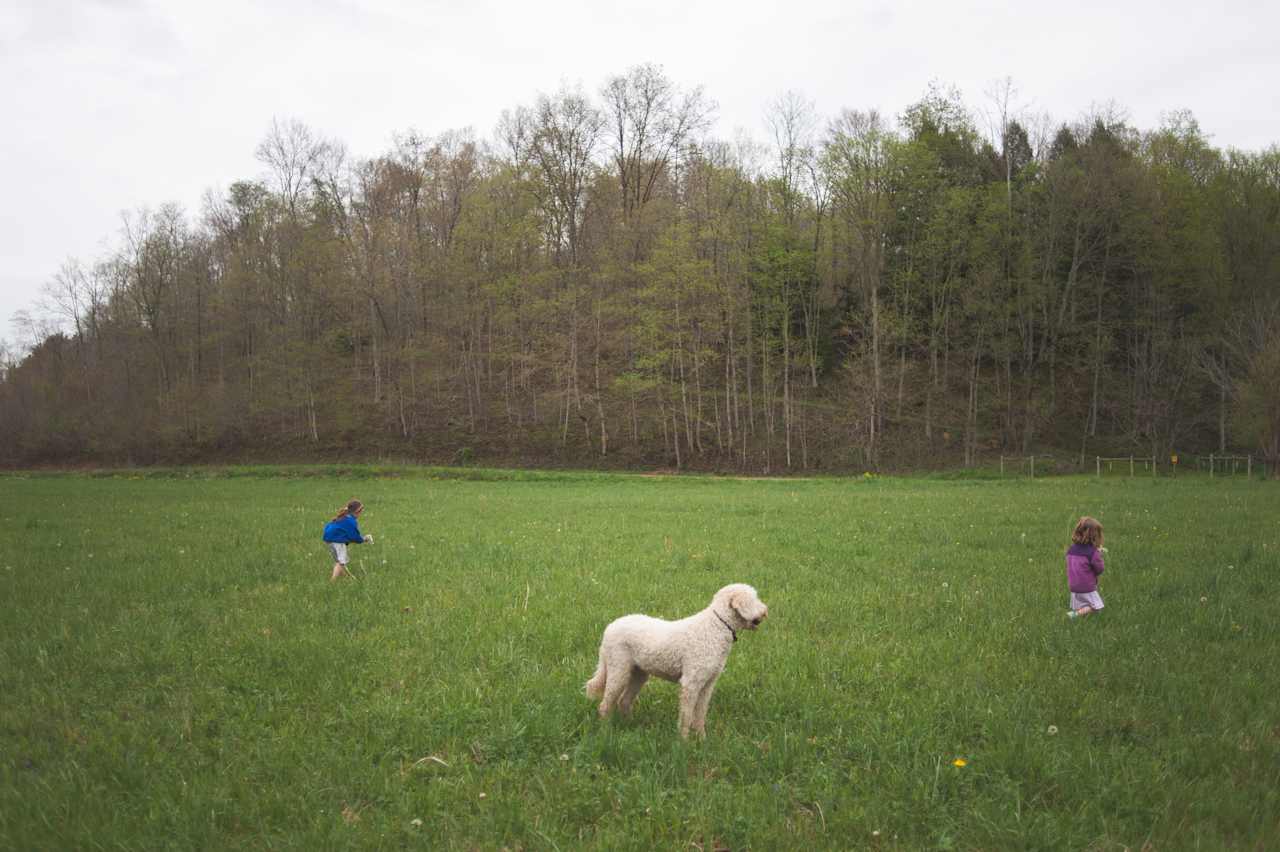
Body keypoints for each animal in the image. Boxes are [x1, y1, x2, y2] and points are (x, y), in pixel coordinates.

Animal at [583, 580, 768, 731]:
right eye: (754, 599)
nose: (765, 611)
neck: (717, 625)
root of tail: (610, 627)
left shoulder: (708, 684)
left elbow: (700, 715)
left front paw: (701, 739)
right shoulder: (690, 683)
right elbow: (686, 716)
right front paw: (684, 743)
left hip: (638, 673)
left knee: (624, 701)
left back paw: (629, 726)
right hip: (618, 670)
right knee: (605, 704)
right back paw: (605, 731)